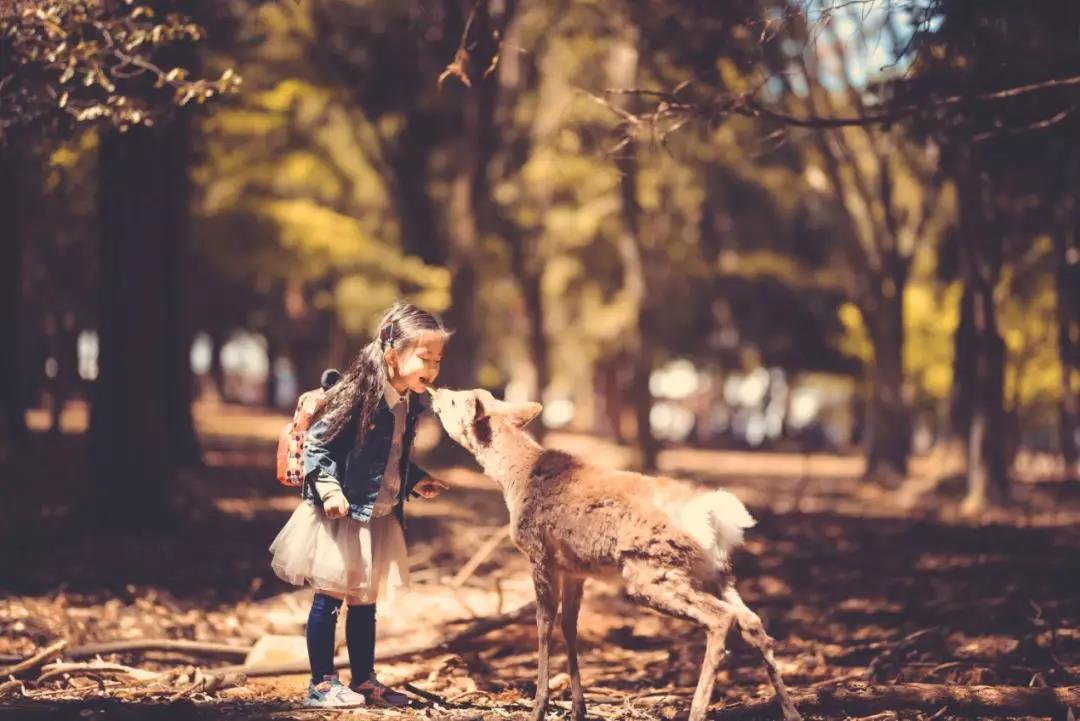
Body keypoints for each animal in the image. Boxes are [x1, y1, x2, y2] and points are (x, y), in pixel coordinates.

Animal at [421, 386, 803, 721]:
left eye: (456, 400)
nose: (435, 391)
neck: (514, 479)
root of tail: (714, 518)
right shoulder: (574, 568)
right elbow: (569, 625)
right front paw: (579, 708)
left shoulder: (538, 554)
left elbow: (544, 624)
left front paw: (539, 706)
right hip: (715, 572)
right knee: (751, 620)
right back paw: (791, 710)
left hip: (652, 572)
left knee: (722, 619)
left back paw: (697, 711)